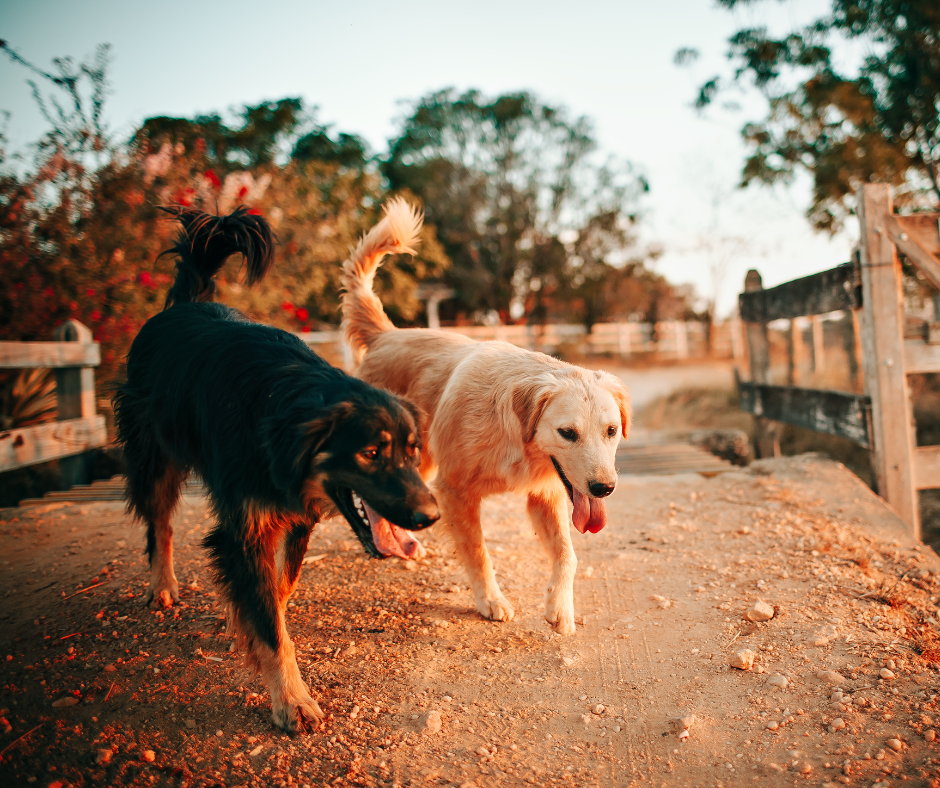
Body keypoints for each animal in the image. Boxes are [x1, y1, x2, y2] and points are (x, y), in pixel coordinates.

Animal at [114, 205, 440, 732]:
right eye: (370, 453)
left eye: (413, 451)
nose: (431, 517)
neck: (283, 412)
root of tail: (183, 305)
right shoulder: (245, 526)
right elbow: (269, 622)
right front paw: (291, 699)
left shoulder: (296, 516)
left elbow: (278, 591)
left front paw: (247, 619)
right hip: (154, 457)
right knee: (159, 524)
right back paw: (161, 585)